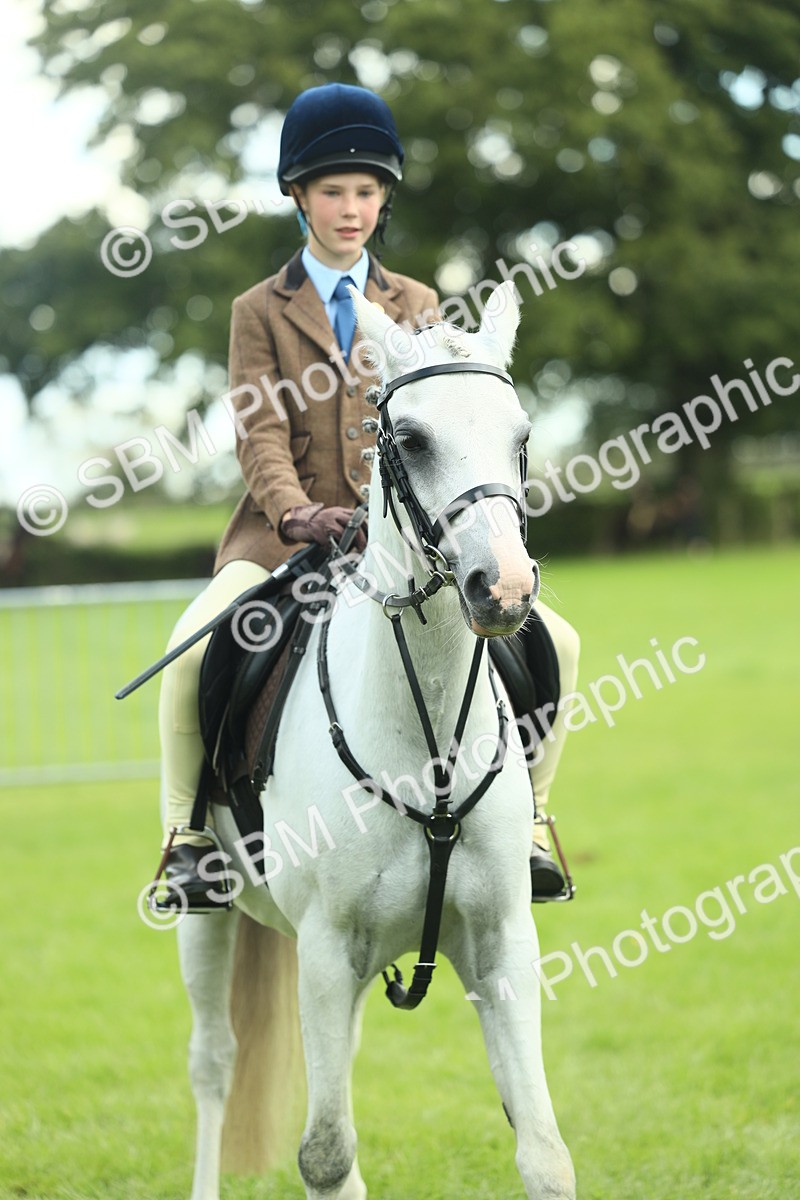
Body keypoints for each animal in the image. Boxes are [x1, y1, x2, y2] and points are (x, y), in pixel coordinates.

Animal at [171, 280, 576, 1200]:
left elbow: (544, 1151)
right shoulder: (325, 951)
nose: (503, 589)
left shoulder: (502, 944)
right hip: (211, 921)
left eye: (521, 435)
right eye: (413, 440)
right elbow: (325, 1154)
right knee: (212, 1064)